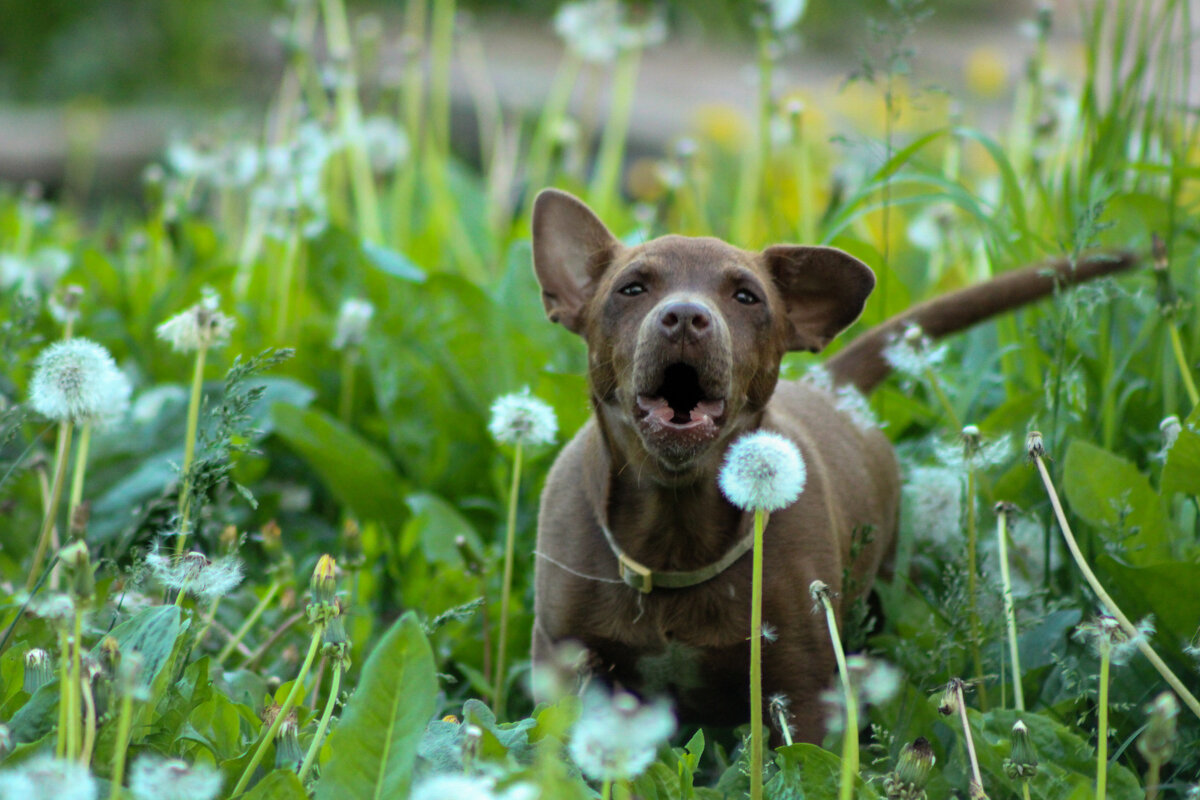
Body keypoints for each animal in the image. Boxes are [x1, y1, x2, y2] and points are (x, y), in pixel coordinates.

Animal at [530, 189, 1137, 743]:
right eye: (631, 288)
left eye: (746, 296)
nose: (684, 316)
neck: (674, 530)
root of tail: (833, 382)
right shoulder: (565, 667)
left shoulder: (804, 690)